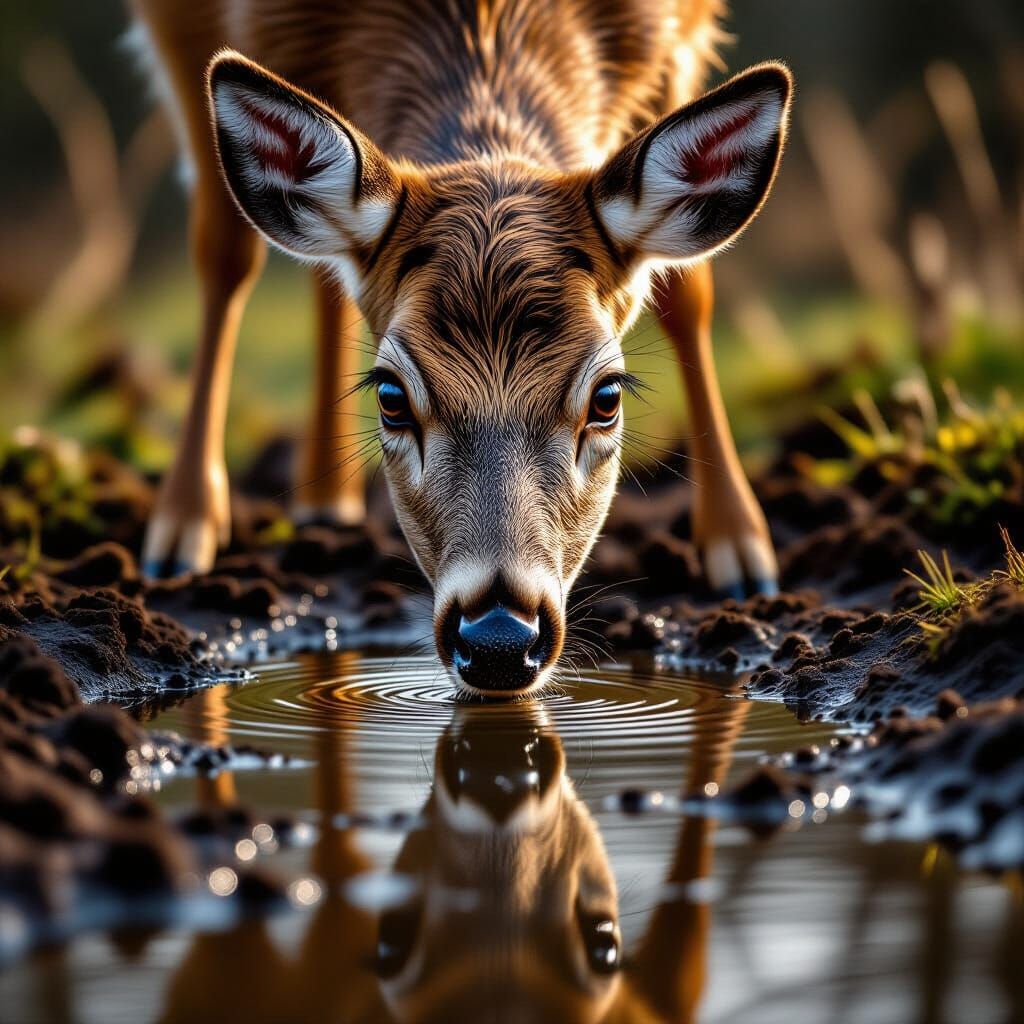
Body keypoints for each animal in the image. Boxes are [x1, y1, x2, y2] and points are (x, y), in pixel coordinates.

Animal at [130, 0, 792, 696]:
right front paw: (183, 527)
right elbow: (225, 248)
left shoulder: (677, 40)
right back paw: (200, 535)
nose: (500, 639)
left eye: (607, 397)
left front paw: (743, 554)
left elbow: (688, 290)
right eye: (391, 397)